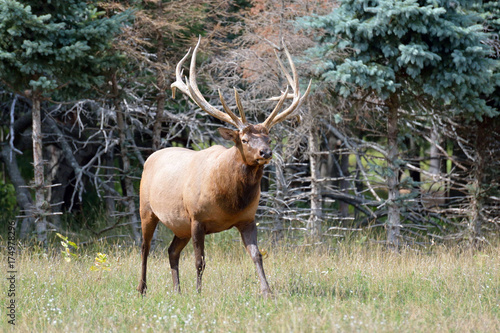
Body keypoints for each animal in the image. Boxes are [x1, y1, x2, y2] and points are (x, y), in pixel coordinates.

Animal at [136, 37, 308, 296]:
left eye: (268, 138)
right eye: (244, 139)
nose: (266, 153)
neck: (229, 201)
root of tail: (150, 158)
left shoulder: (247, 218)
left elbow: (257, 255)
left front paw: (267, 291)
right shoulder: (196, 218)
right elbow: (200, 260)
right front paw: (199, 292)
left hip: (179, 226)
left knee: (171, 251)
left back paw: (177, 290)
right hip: (147, 209)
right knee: (145, 248)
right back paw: (142, 288)